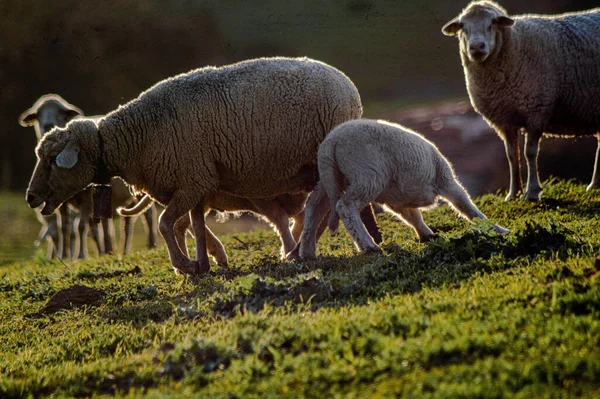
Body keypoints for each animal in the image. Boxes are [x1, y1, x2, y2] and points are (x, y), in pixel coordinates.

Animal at [19, 94, 157, 260]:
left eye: (60, 113)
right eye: (38, 114)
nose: (48, 125)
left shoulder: (86, 199)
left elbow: (81, 226)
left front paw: (80, 256)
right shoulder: (62, 203)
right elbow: (65, 227)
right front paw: (64, 255)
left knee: (148, 215)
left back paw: (151, 245)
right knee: (126, 223)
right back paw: (121, 250)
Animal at [288, 119, 508, 260]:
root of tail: (331, 142)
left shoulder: (396, 198)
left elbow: (412, 216)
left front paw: (426, 234)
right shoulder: (445, 180)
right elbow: (466, 205)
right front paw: (497, 228)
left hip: (330, 177)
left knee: (314, 207)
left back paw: (306, 252)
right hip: (367, 174)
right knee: (345, 207)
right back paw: (368, 246)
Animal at [440, 0, 600, 200]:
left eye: (493, 23)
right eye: (463, 27)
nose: (476, 47)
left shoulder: (537, 109)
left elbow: (529, 152)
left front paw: (532, 192)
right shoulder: (504, 119)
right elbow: (511, 155)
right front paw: (513, 192)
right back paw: (595, 185)